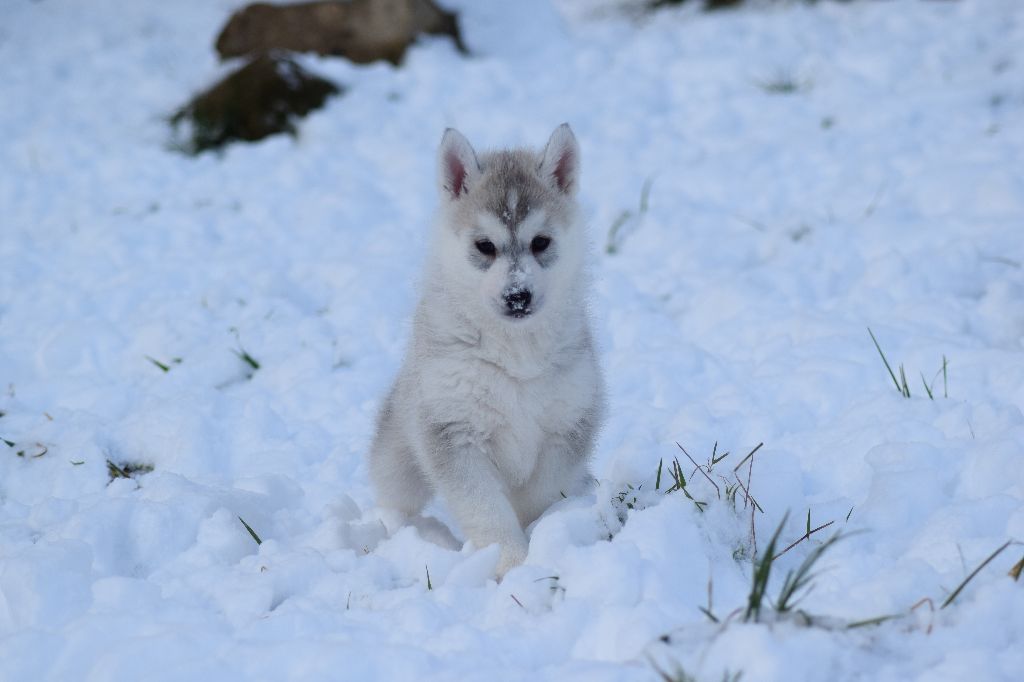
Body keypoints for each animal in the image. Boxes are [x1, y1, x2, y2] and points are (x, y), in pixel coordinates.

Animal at [368, 123, 605, 576]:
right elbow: (486, 509)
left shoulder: (566, 425)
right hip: (398, 454)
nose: (518, 296)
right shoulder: (452, 432)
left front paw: (537, 542)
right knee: (394, 499)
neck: (515, 348)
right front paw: (511, 563)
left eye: (541, 242)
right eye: (484, 246)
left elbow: (539, 497)